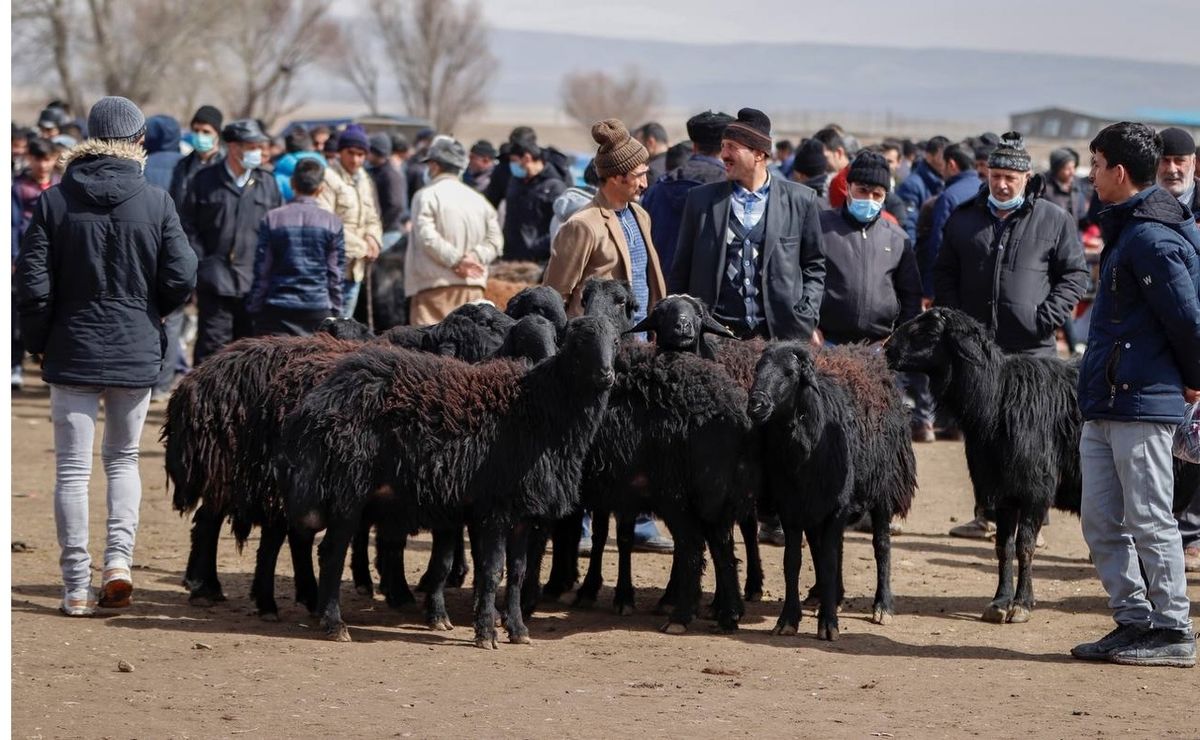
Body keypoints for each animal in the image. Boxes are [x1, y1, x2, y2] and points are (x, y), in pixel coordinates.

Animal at [282, 314, 619, 642]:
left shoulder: (522, 511)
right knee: (331, 553)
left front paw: (518, 630)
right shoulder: (495, 507)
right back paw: (334, 624)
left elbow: (517, 572)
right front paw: (486, 632)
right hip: (348, 489)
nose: (607, 374)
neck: (539, 407)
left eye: (615, 341)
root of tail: (323, 397)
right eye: (580, 341)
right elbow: (492, 571)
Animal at [744, 343, 912, 638]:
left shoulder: (835, 507)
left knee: (881, 545)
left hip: (882, 490)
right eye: (757, 368)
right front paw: (788, 619)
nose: (756, 404)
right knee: (826, 548)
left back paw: (882, 606)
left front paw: (828, 623)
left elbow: (830, 561)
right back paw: (831, 595)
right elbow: (794, 561)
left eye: (790, 373)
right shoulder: (791, 507)